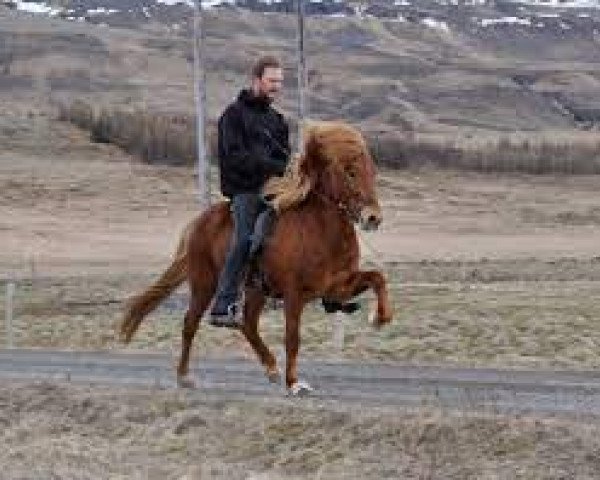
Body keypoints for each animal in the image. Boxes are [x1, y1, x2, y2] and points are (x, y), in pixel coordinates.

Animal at [121, 121, 394, 394]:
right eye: (350, 172)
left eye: (372, 171)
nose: (373, 217)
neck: (320, 231)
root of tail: (198, 222)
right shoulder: (295, 294)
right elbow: (292, 338)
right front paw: (294, 383)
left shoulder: (337, 286)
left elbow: (378, 278)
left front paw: (379, 318)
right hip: (204, 284)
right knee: (190, 324)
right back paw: (185, 376)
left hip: (256, 290)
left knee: (248, 324)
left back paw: (271, 368)